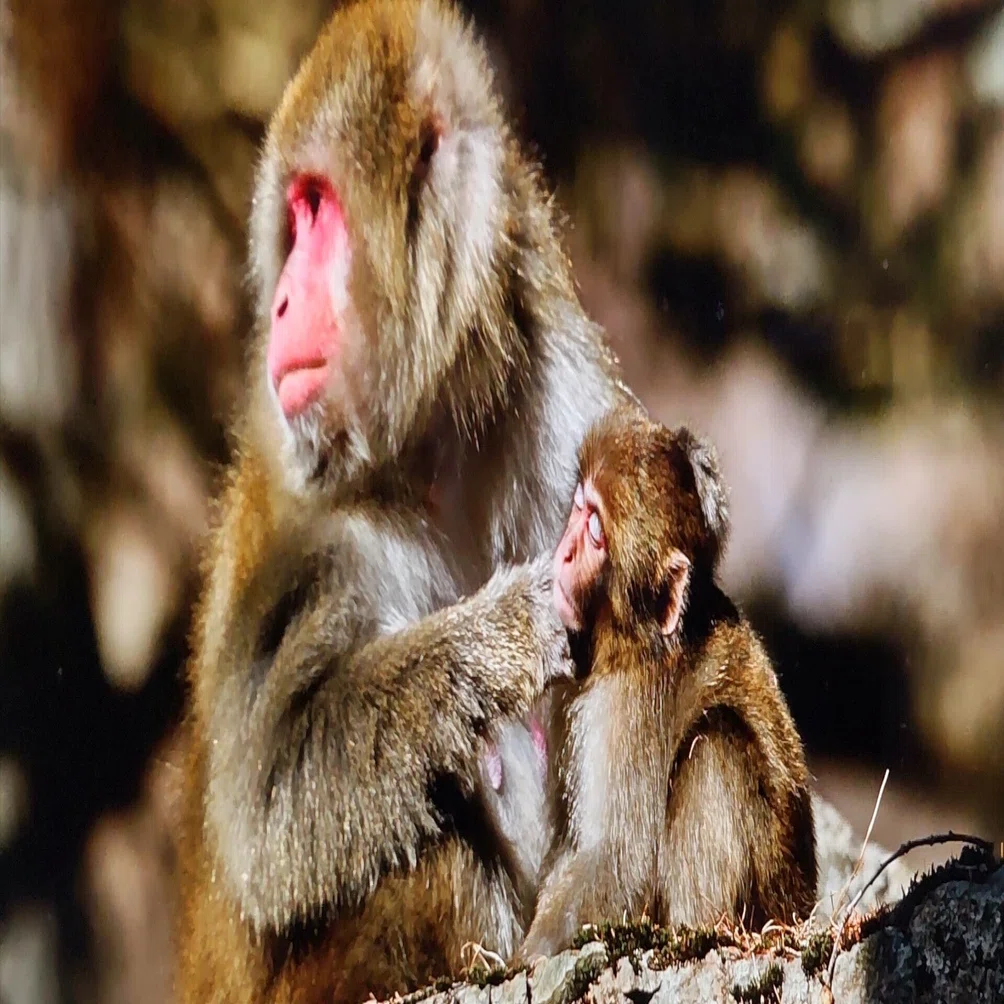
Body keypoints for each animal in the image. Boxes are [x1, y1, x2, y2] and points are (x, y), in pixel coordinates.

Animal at [173, 0, 634, 1001]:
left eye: (317, 208)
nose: (278, 304)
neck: (429, 443)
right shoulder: (315, 537)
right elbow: (270, 810)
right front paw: (508, 630)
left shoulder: (567, 406)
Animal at [517, 403, 817, 962]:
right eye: (579, 508)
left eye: (596, 532)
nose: (564, 552)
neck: (628, 644)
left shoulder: (633, 704)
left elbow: (621, 857)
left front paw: (523, 960)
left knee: (717, 746)